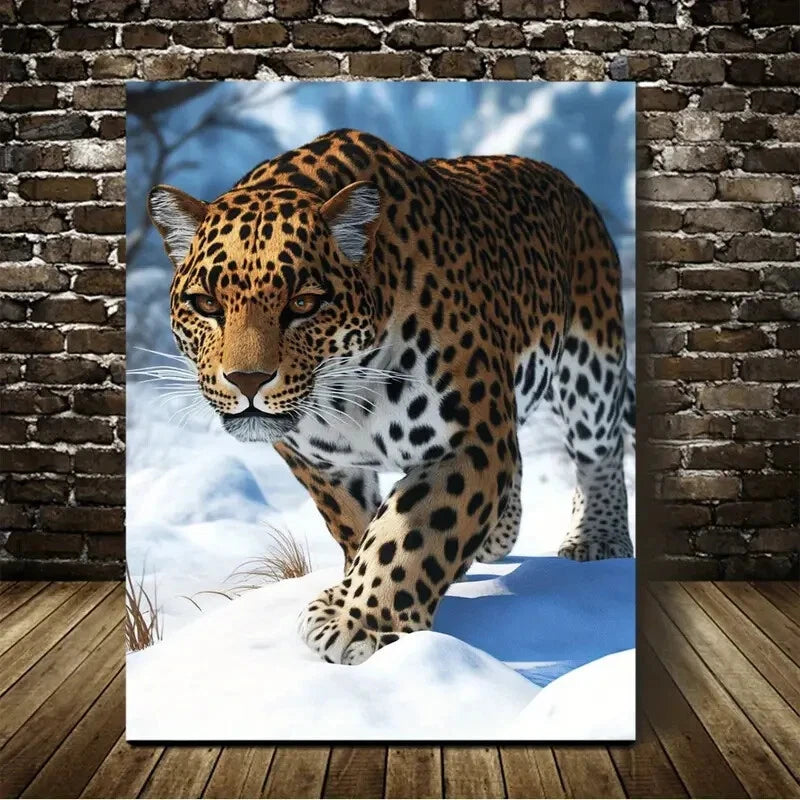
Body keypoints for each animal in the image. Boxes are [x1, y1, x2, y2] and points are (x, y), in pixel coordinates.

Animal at [148, 128, 634, 666]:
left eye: (304, 304)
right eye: (205, 304)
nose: (247, 381)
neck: (343, 393)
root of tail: (567, 184)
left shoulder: (472, 439)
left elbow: (409, 533)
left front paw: (355, 621)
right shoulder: (319, 461)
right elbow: (356, 523)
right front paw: (354, 587)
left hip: (591, 362)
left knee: (599, 449)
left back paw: (598, 537)